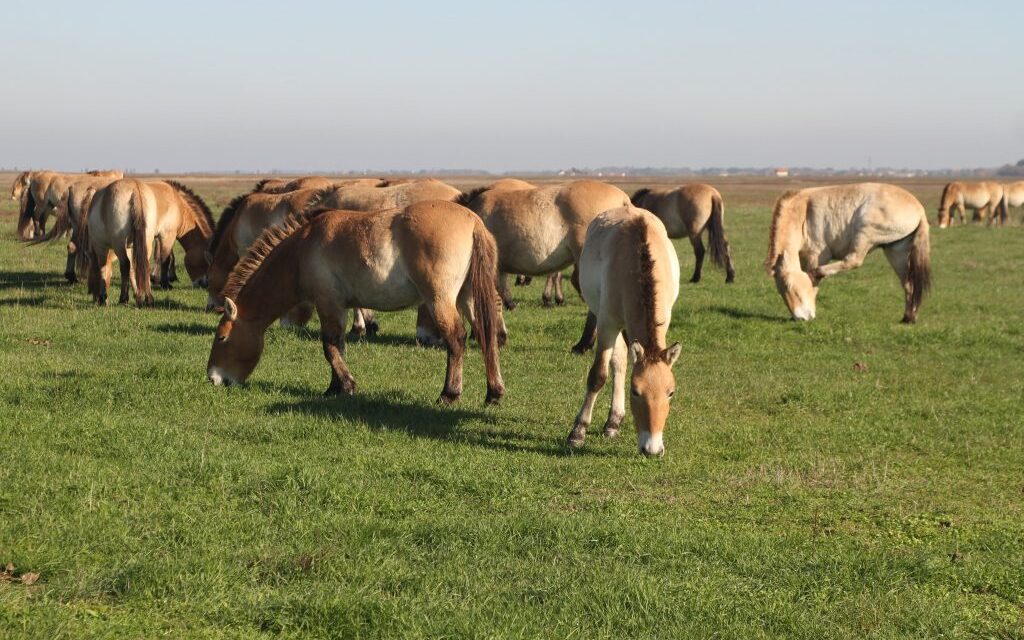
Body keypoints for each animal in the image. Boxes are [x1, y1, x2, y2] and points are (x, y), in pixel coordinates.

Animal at [84, 177, 218, 307]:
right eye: (205, 261)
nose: (205, 284)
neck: (177, 203)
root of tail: (134, 190)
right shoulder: (165, 236)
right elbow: (165, 259)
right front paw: (164, 283)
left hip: (126, 243)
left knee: (128, 265)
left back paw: (130, 298)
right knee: (134, 265)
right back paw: (140, 299)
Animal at [205, 198, 505, 403]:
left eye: (221, 337)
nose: (214, 378)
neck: (301, 249)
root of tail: (473, 221)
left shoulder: (328, 304)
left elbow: (329, 347)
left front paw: (346, 385)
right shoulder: (336, 308)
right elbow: (338, 346)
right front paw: (334, 387)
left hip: (439, 300)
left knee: (456, 339)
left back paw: (449, 393)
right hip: (469, 298)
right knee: (486, 335)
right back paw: (494, 392)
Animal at [565, 206, 684, 456]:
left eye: (671, 392)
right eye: (636, 391)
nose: (652, 449)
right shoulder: (608, 322)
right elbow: (598, 376)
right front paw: (577, 433)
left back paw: (613, 421)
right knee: (618, 362)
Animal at [765, 184, 933, 323]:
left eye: (788, 285)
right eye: (780, 290)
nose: (801, 318)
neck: (803, 212)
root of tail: (920, 210)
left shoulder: (817, 255)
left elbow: (814, 284)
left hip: (865, 233)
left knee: (853, 260)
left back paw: (817, 273)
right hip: (896, 251)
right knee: (908, 283)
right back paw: (908, 317)